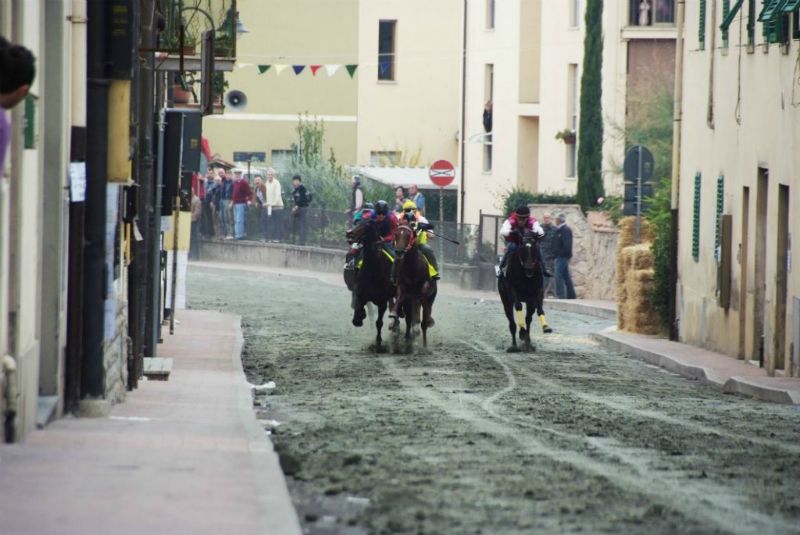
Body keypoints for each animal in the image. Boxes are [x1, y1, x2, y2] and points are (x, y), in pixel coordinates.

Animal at [348, 220, 396, 350]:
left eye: (365, 227)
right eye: (358, 223)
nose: (349, 234)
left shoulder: (382, 301)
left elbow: (379, 322)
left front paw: (378, 342)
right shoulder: (360, 294)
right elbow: (358, 311)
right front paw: (360, 316)